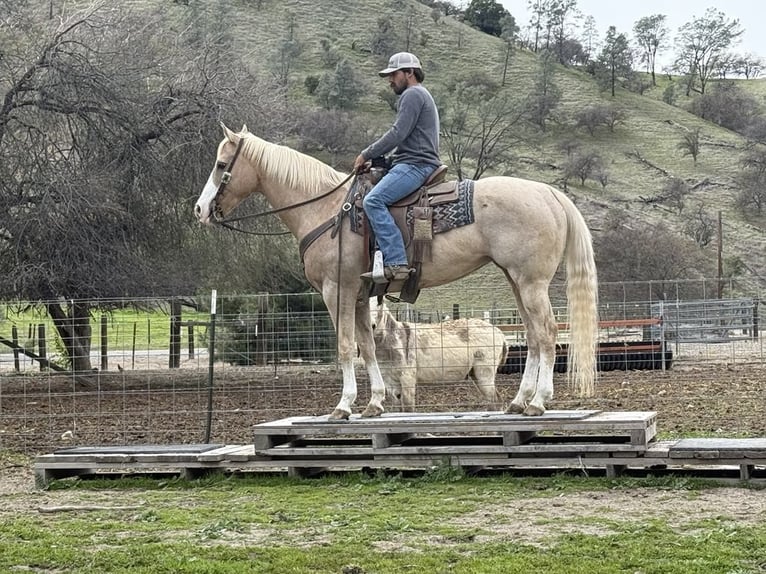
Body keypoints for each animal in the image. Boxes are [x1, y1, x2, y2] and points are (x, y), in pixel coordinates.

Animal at [194, 124, 599, 419]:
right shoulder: (360, 297)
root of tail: (549, 193)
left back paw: (538, 402)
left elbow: (345, 347)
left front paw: (343, 406)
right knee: (533, 337)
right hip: (518, 281)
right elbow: (367, 347)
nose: (199, 209)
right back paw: (519, 401)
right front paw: (373, 403)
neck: (328, 210)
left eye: (221, 165)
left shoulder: (336, 290)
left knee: (547, 334)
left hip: (531, 283)